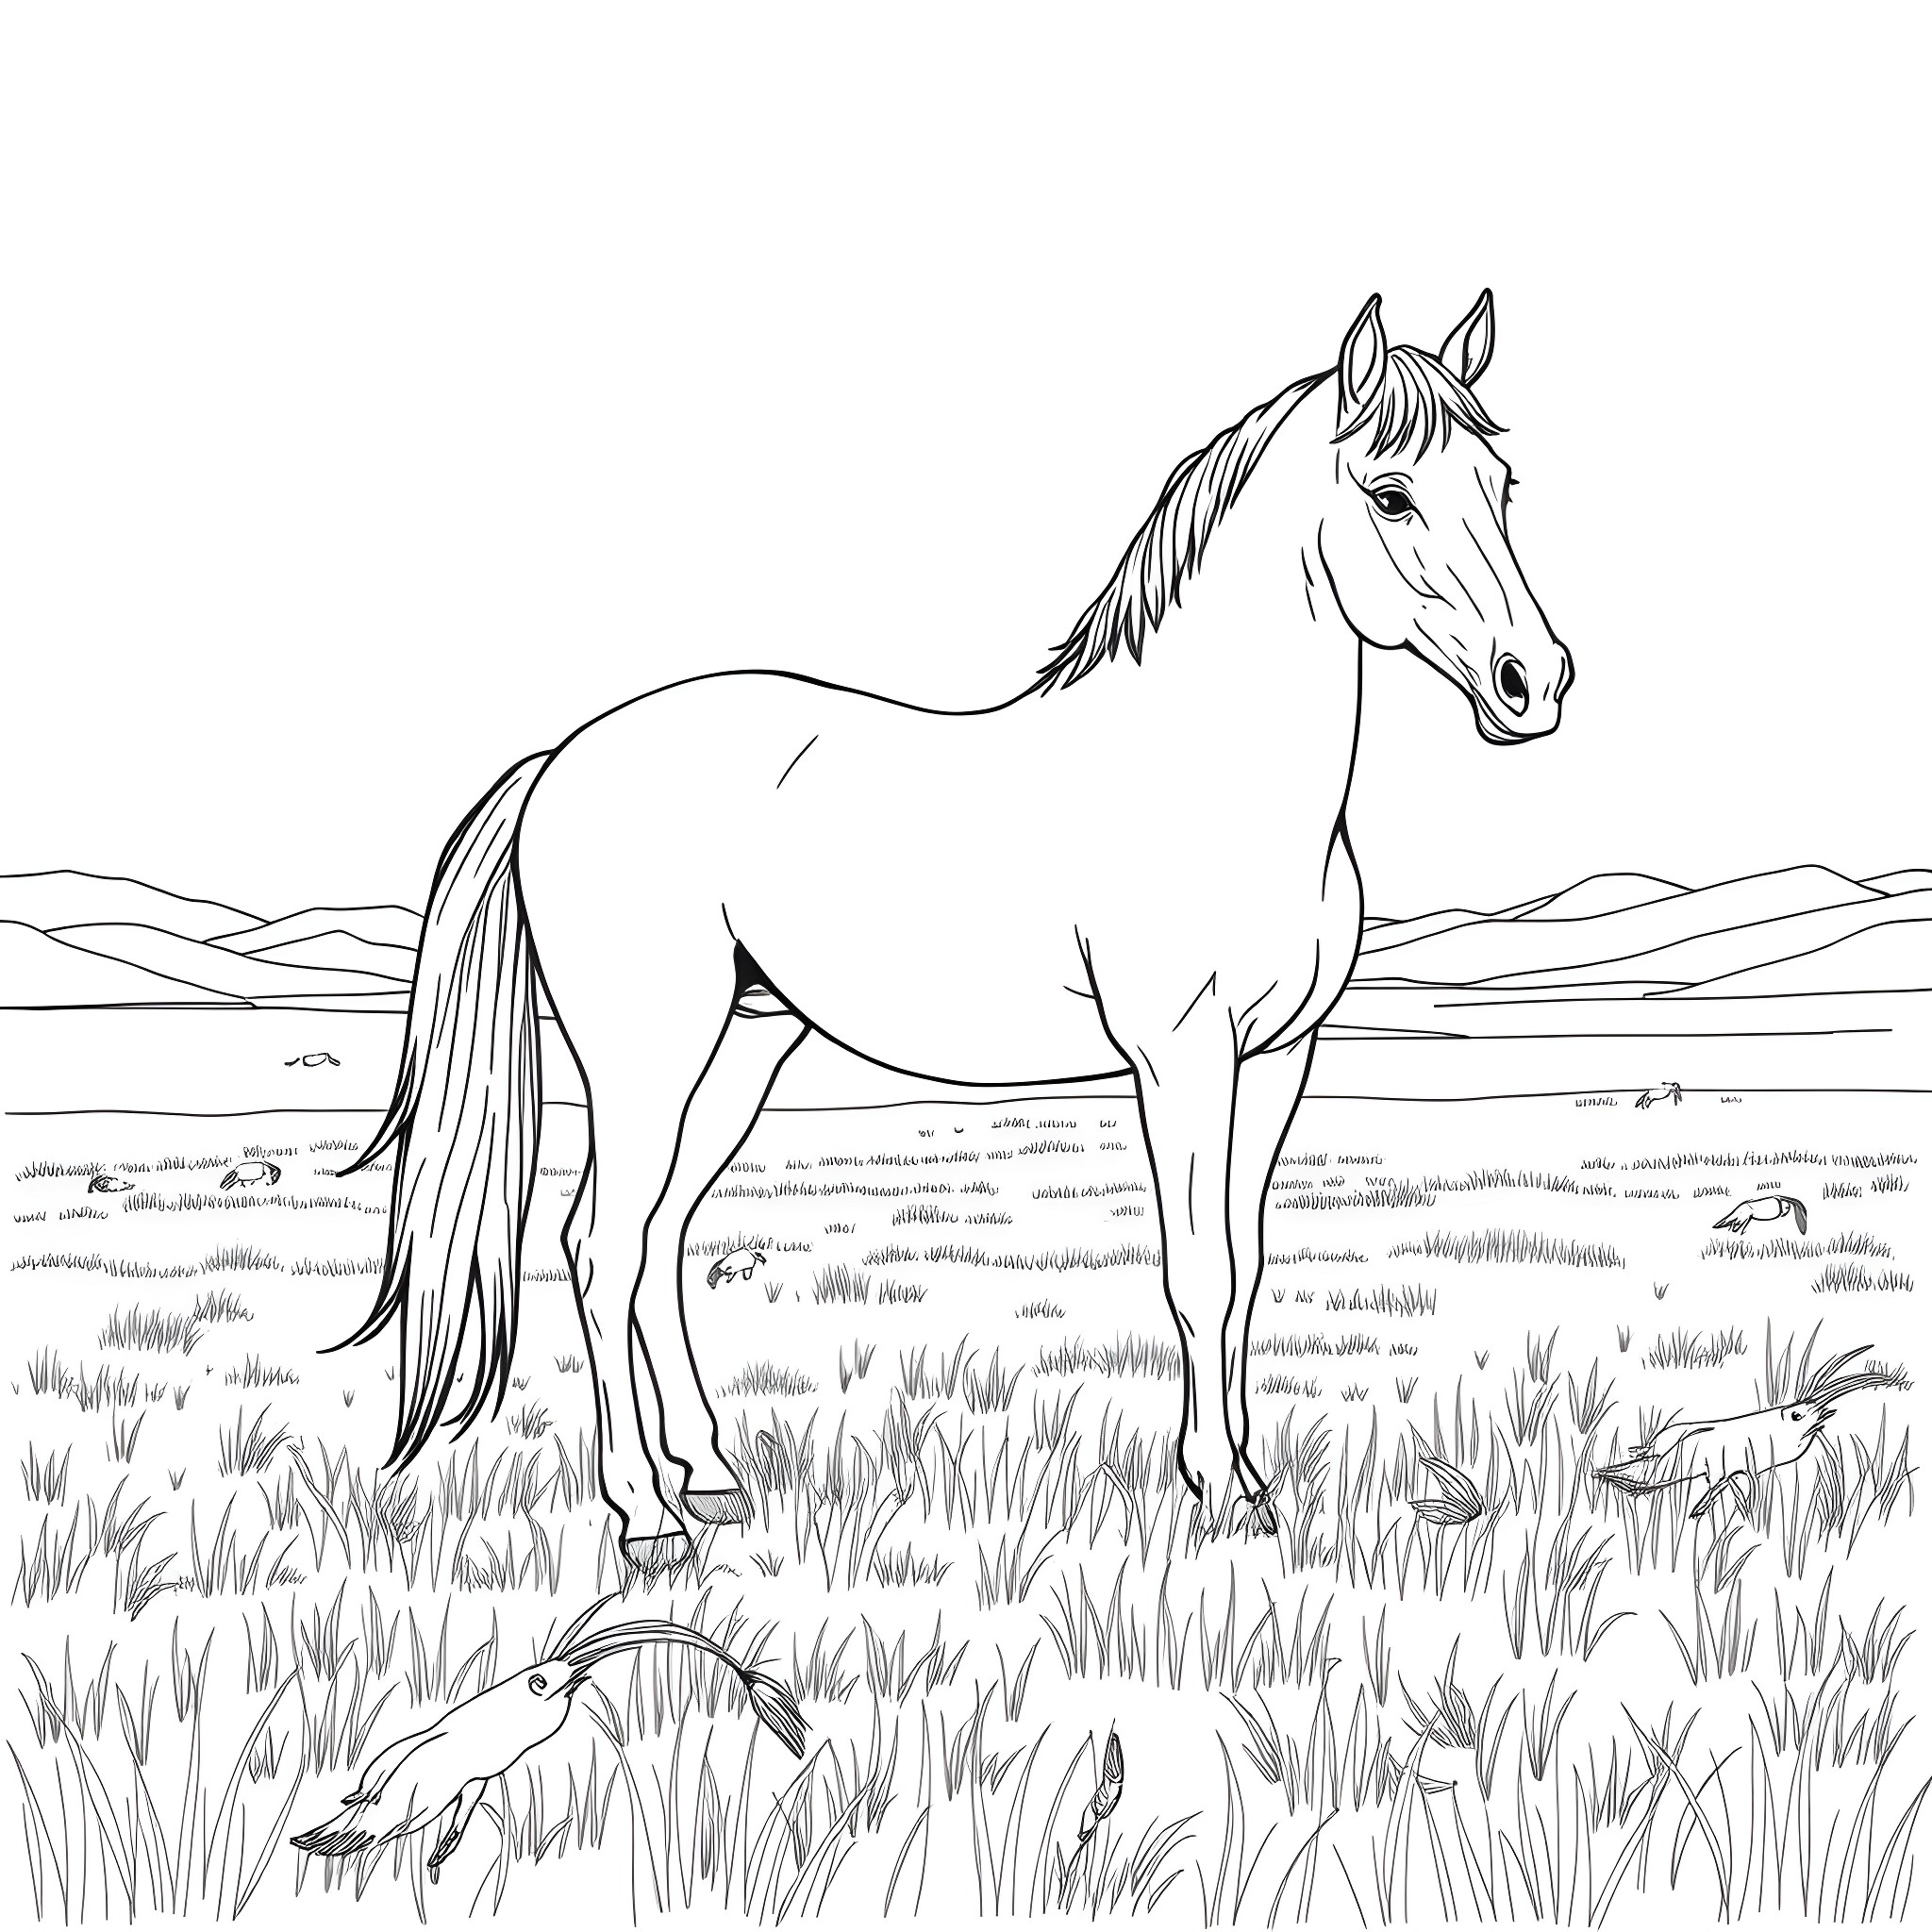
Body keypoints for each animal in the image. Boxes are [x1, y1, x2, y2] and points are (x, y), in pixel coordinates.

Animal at [340, 291, 1574, 1562]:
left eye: (1502, 484)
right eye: (1391, 493)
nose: (1532, 682)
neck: (1203, 775)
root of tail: (560, 760)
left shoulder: (1277, 1058)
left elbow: (1245, 1269)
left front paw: (1243, 1479)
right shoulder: (1180, 1057)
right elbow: (1196, 1271)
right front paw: (1218, 1492)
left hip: (741, 1044)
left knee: (663, 1239)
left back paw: (713, 1475)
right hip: (647, 1054)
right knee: (604, 1246)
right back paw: (644, 1514)